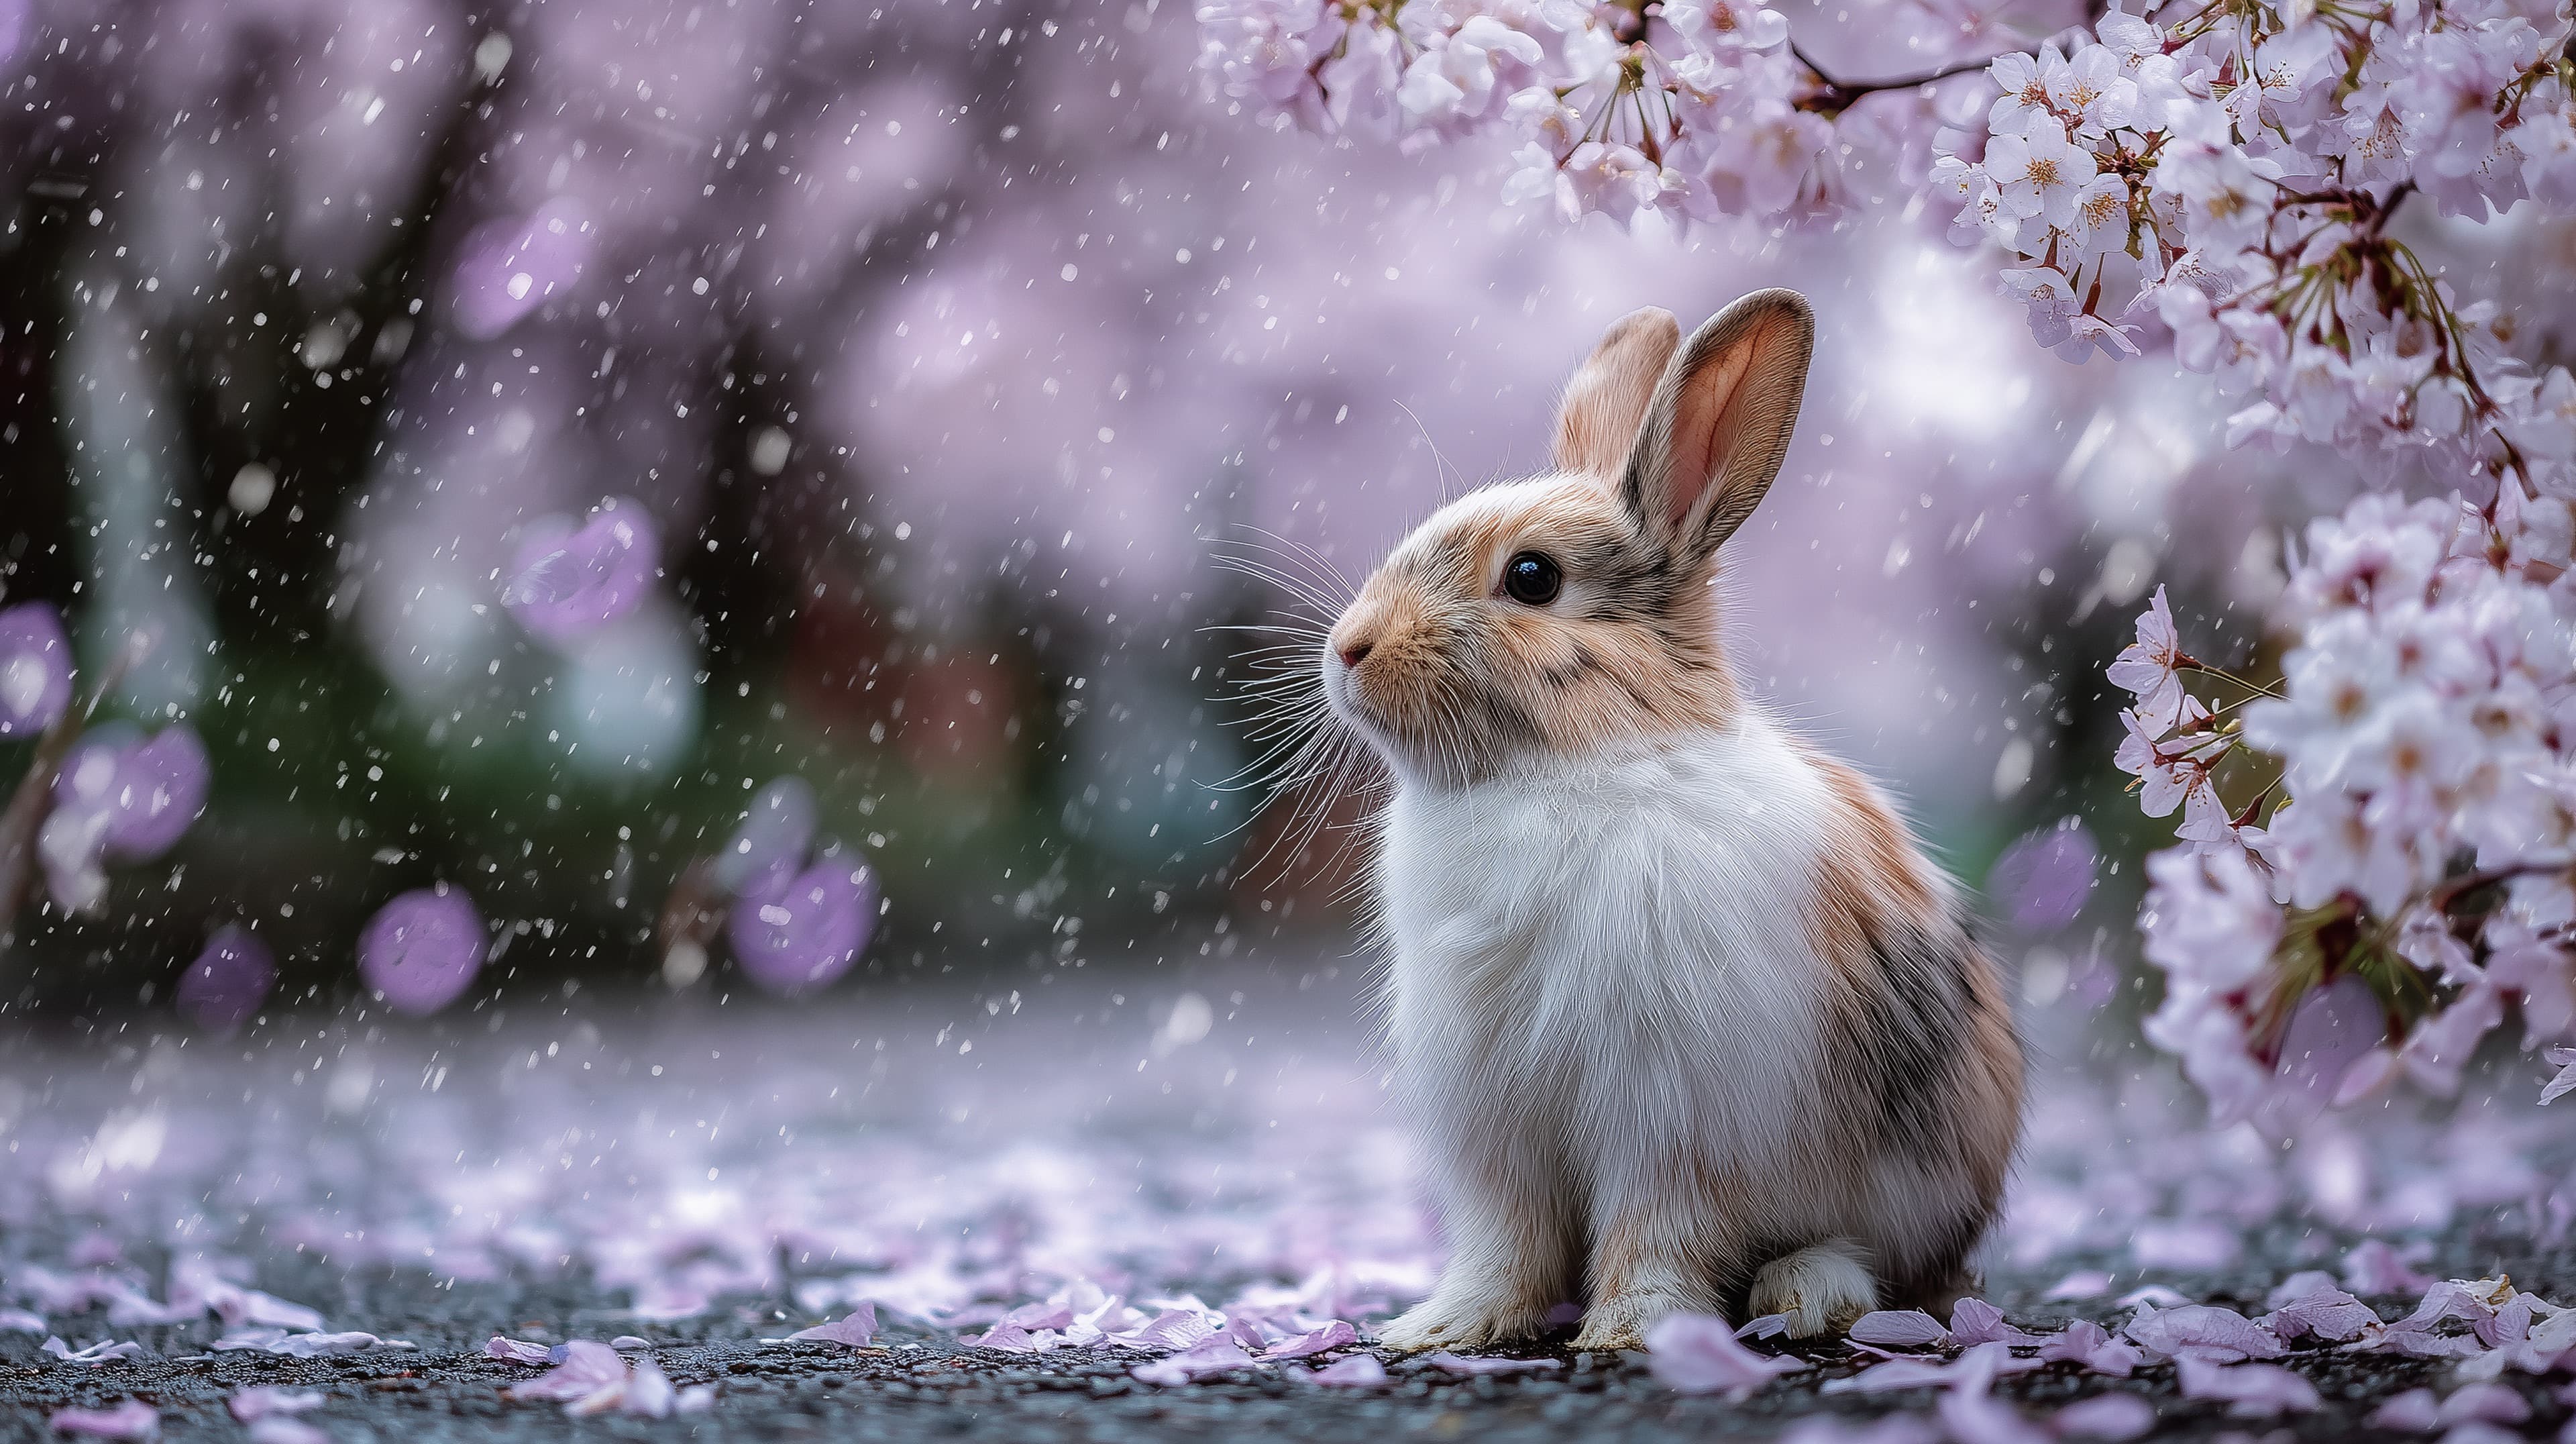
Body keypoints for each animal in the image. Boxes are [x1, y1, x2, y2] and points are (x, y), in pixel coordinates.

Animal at [1315, 290, 2024, 1353]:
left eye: (1532, 578)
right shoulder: (1496, 1127)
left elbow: (1660, 1230)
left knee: (1891, 1268)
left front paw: (1634, 1332)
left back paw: (1806, 1294)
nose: (1348, 649)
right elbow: (1504, 1243)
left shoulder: (1671, 1114)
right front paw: (1443, 1328)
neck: (1562, 773)